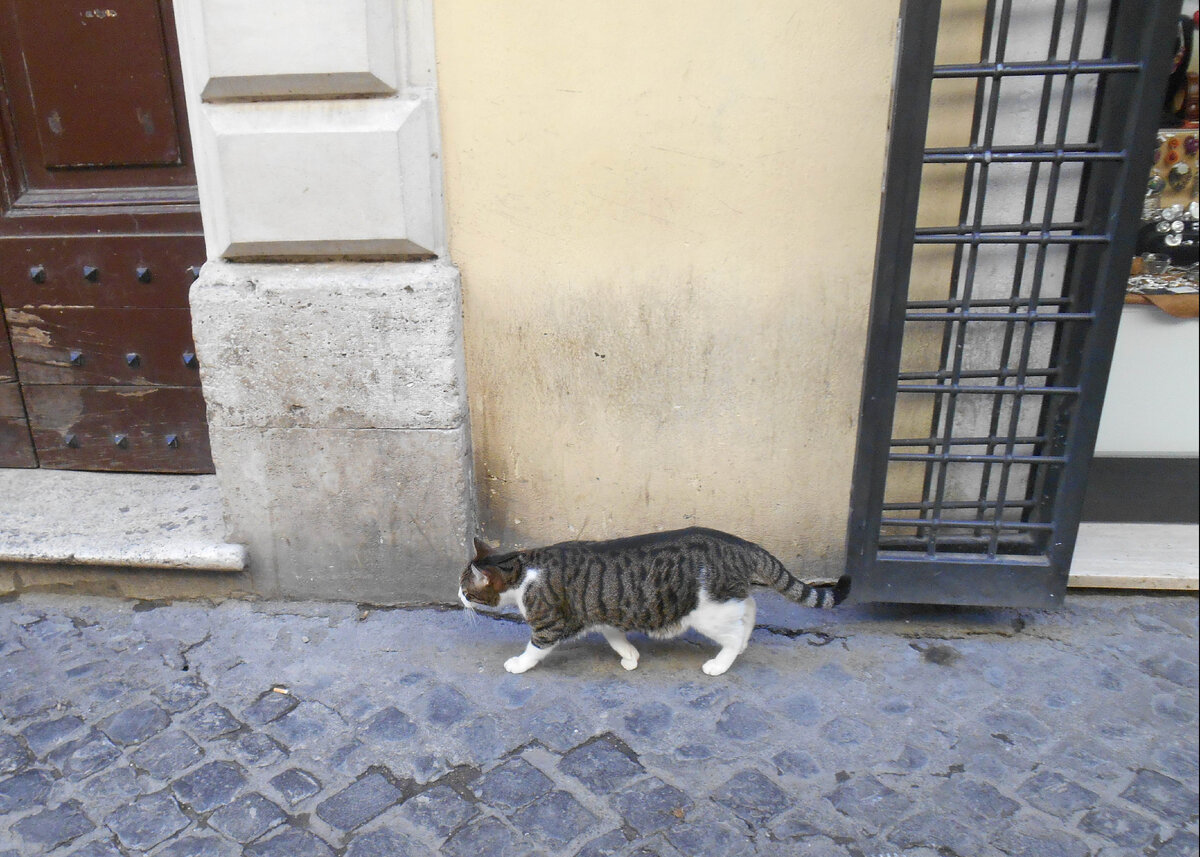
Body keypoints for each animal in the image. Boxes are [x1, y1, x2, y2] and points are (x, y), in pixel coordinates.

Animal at [453, 528, 849, 672]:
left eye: (464, 587)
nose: (456, 596)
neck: (523, 569)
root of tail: (738, 544)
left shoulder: (550, 624)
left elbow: (535, 648)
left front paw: (517, 664)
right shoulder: (603, 612)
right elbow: (615, 637)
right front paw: (630, 657)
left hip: (708, 612)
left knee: (735, 634)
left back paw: (721, 663)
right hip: (725, 600)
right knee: (750, 609)